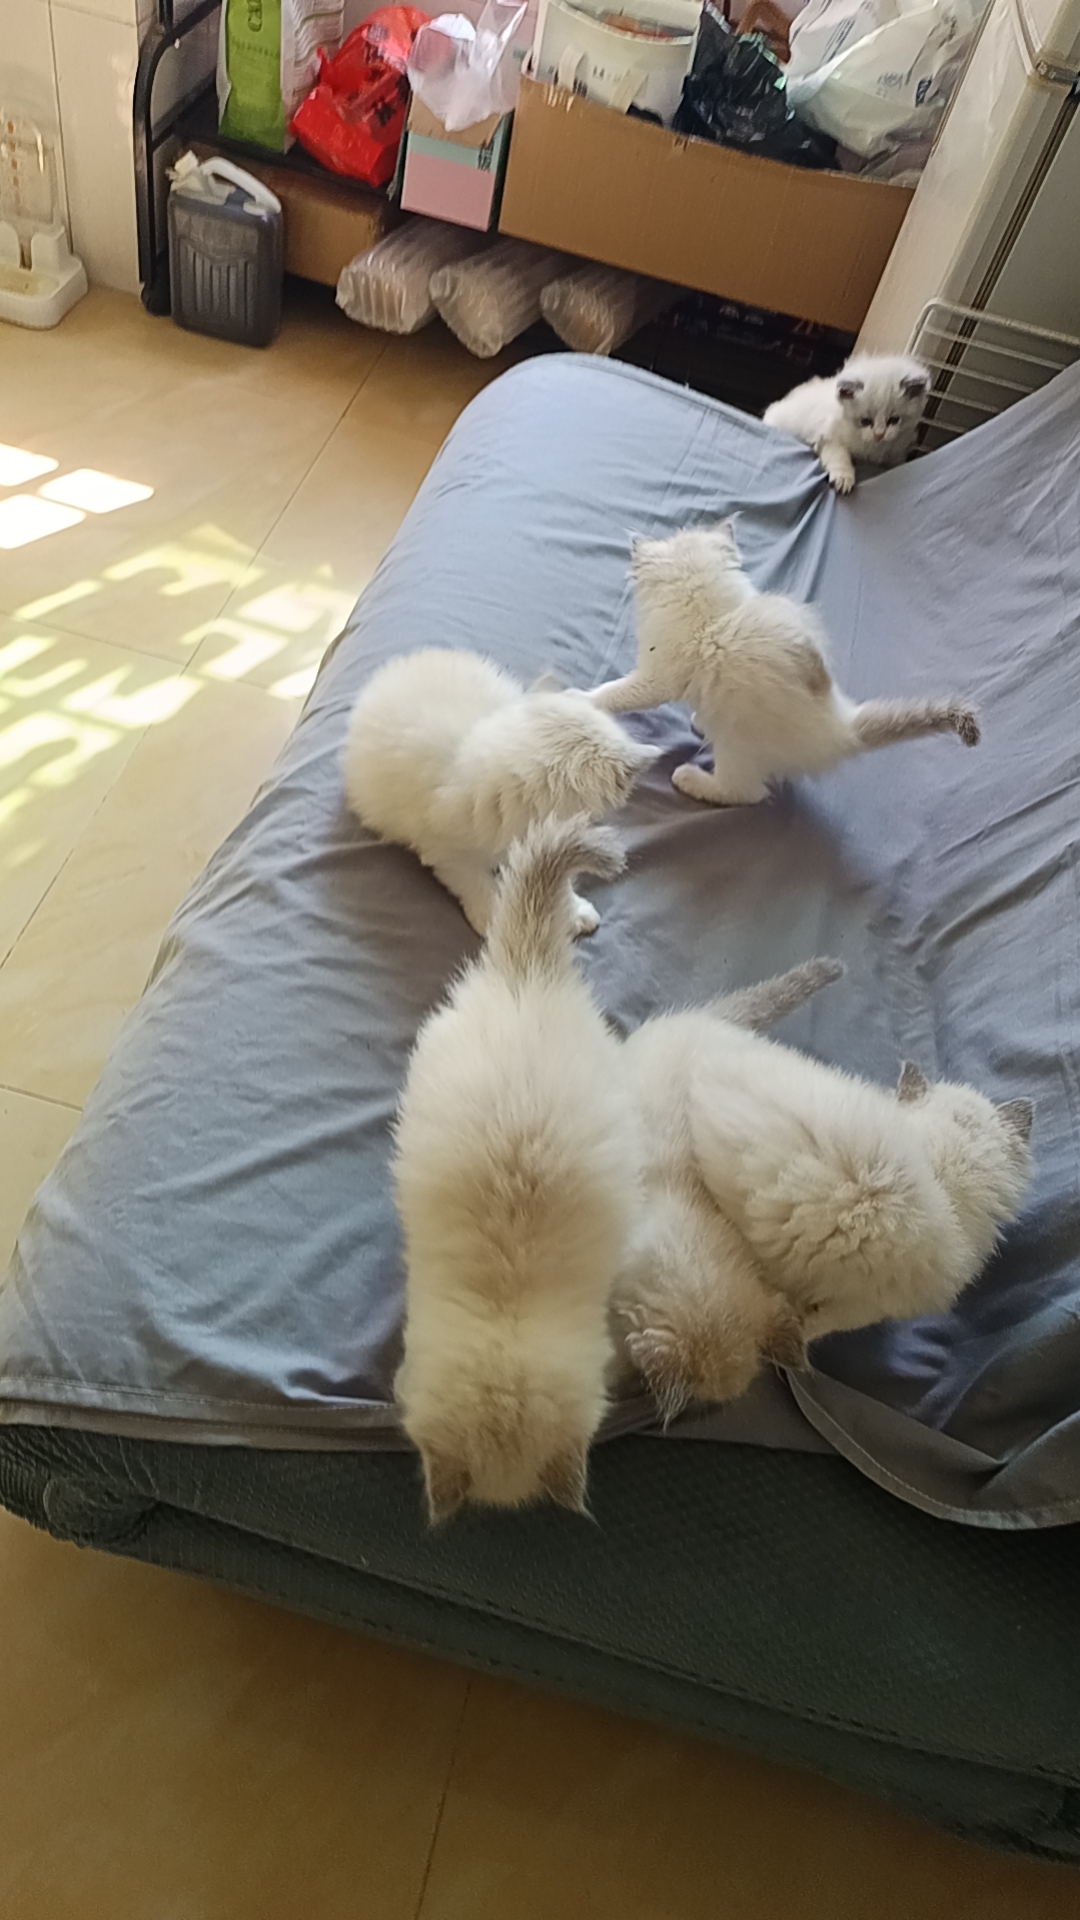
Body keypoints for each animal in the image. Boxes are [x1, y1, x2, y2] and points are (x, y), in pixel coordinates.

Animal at [590, 521, 979, 808]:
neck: (711, 619)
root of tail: (841, 727)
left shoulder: (655, 678)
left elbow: (612, 693)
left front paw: (582, 700)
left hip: (735, 742)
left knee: (744, 792)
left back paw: (689, 777)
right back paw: (700, 724)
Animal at [763, 353, 931, 493]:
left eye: (894, 420)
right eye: (865, 421)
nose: (879, 435)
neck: (872, 449)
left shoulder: (897, 451)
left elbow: (896, 464)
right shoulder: (829, 439)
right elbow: (840, 457)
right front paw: (843, 479)